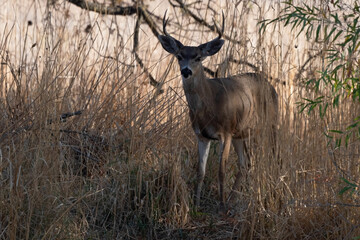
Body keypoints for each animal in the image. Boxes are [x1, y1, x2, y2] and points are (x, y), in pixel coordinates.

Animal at [158, 12, 278, 209]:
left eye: (198, 57)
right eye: (179, 56)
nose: (186, 71)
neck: (208, 106)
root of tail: (271, 86)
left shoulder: (226, 131)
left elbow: (221, 170)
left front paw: (220, 205)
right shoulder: (201, 135)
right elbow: (200, 171)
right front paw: (196, 203)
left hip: (270, 125)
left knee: (273, 156)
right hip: (241, 133)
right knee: (246, 163)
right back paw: (233, 198)